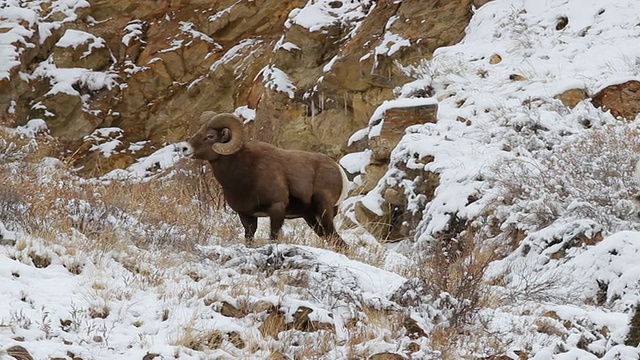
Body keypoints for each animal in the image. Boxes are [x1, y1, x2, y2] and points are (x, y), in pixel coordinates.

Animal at [180, 111, 350, 249]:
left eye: (210, 136)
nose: (184, 148)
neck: (245, 174)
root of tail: (338, 169)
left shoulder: (277, 209)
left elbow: (273, 238)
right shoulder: (246, 215)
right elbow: (249, 239)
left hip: (324, 212)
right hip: (311, 218)